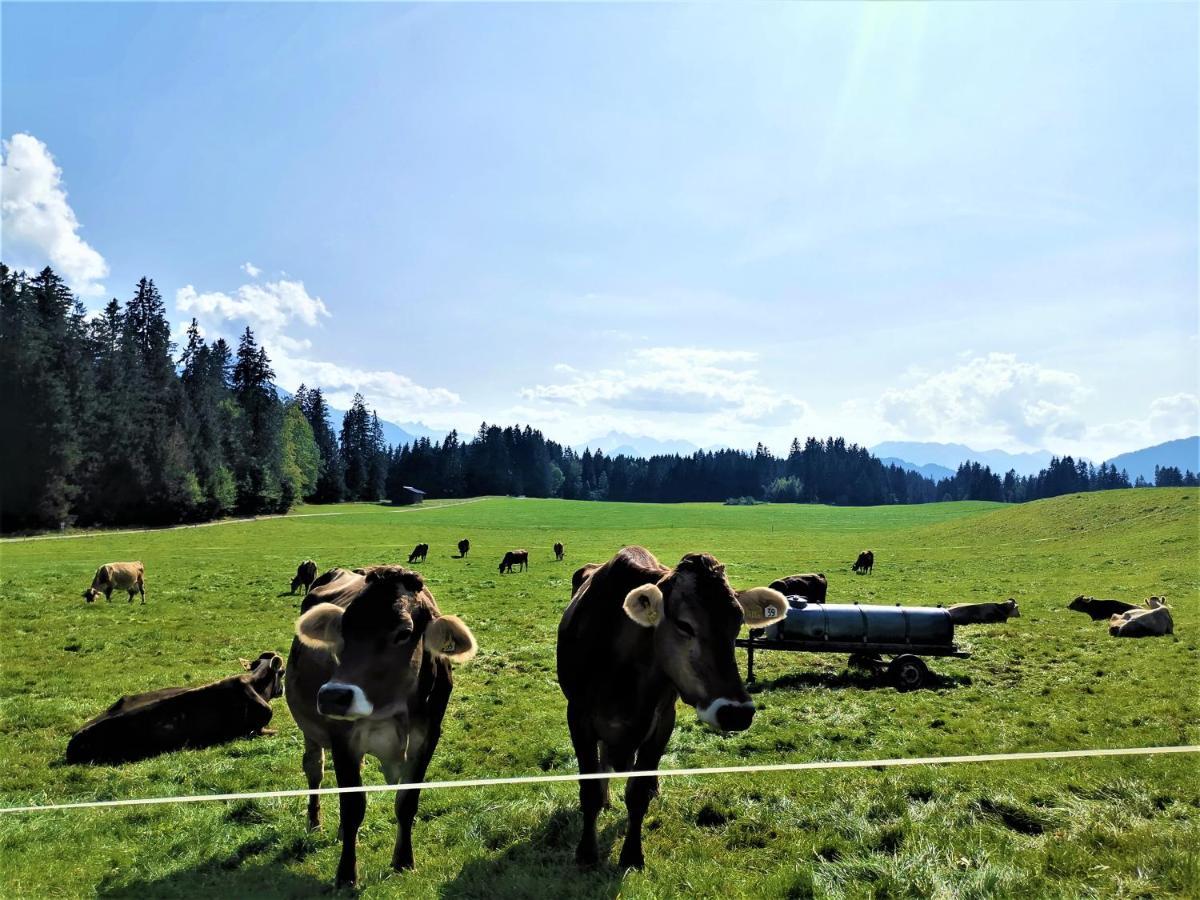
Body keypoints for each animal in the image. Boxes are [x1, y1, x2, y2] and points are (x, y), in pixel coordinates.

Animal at [286, 566, 477, 892]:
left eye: (403, 633)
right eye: (343, 628)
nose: (333, 696)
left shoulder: (427, 738)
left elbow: (407, 802)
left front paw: (404, 861)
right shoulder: (343, 739)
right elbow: (352, 806)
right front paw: (346, 875)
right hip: (310, 731)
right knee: (314, 769)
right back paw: (315, 822)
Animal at [559, 547, 792, 868]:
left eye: (737, 625)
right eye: (684, 625)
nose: (736, 712)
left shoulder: (662, 722)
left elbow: (637, 793)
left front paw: (632, 854)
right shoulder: (579, 717)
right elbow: (590, 789)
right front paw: (586, 852)